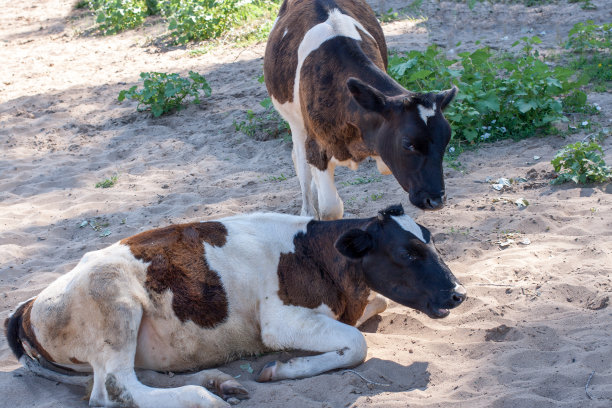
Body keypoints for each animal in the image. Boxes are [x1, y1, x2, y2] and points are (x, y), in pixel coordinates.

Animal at [4, 206, 466, 406]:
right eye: (407, 253)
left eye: (431, 241)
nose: (458, 293)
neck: (313, 251)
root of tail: (29, 304)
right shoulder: (280, 322)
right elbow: (356, 345)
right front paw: (284, 369)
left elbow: (376, 311)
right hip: (113, 302)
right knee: (114, 389)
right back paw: (204, 398)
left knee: (133, 378)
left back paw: (220, 383)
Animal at [266, 0, 456, 220]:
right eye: (408, 144)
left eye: (446, 140)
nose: (435, 200)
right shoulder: (316, 147)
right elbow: (331, 207)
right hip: (295, 122)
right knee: (300, 162)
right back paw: (307, 210)